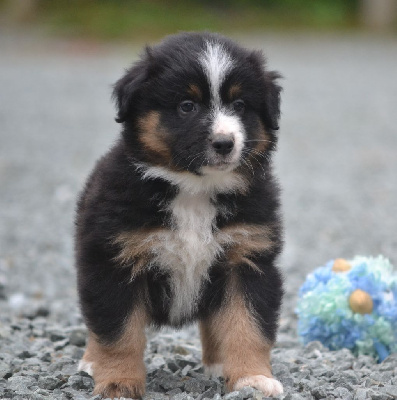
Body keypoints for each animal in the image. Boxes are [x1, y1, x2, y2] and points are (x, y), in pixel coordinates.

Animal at [75, 31, 284, 396]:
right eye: (187, 106)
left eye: (240, 106)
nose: (224, 143)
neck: (194, 191)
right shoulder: (113, 262)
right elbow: (118, 332)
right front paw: (117, 381)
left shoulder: (247, 259)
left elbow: (247, 326)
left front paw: (253, 378)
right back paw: (91, 361)